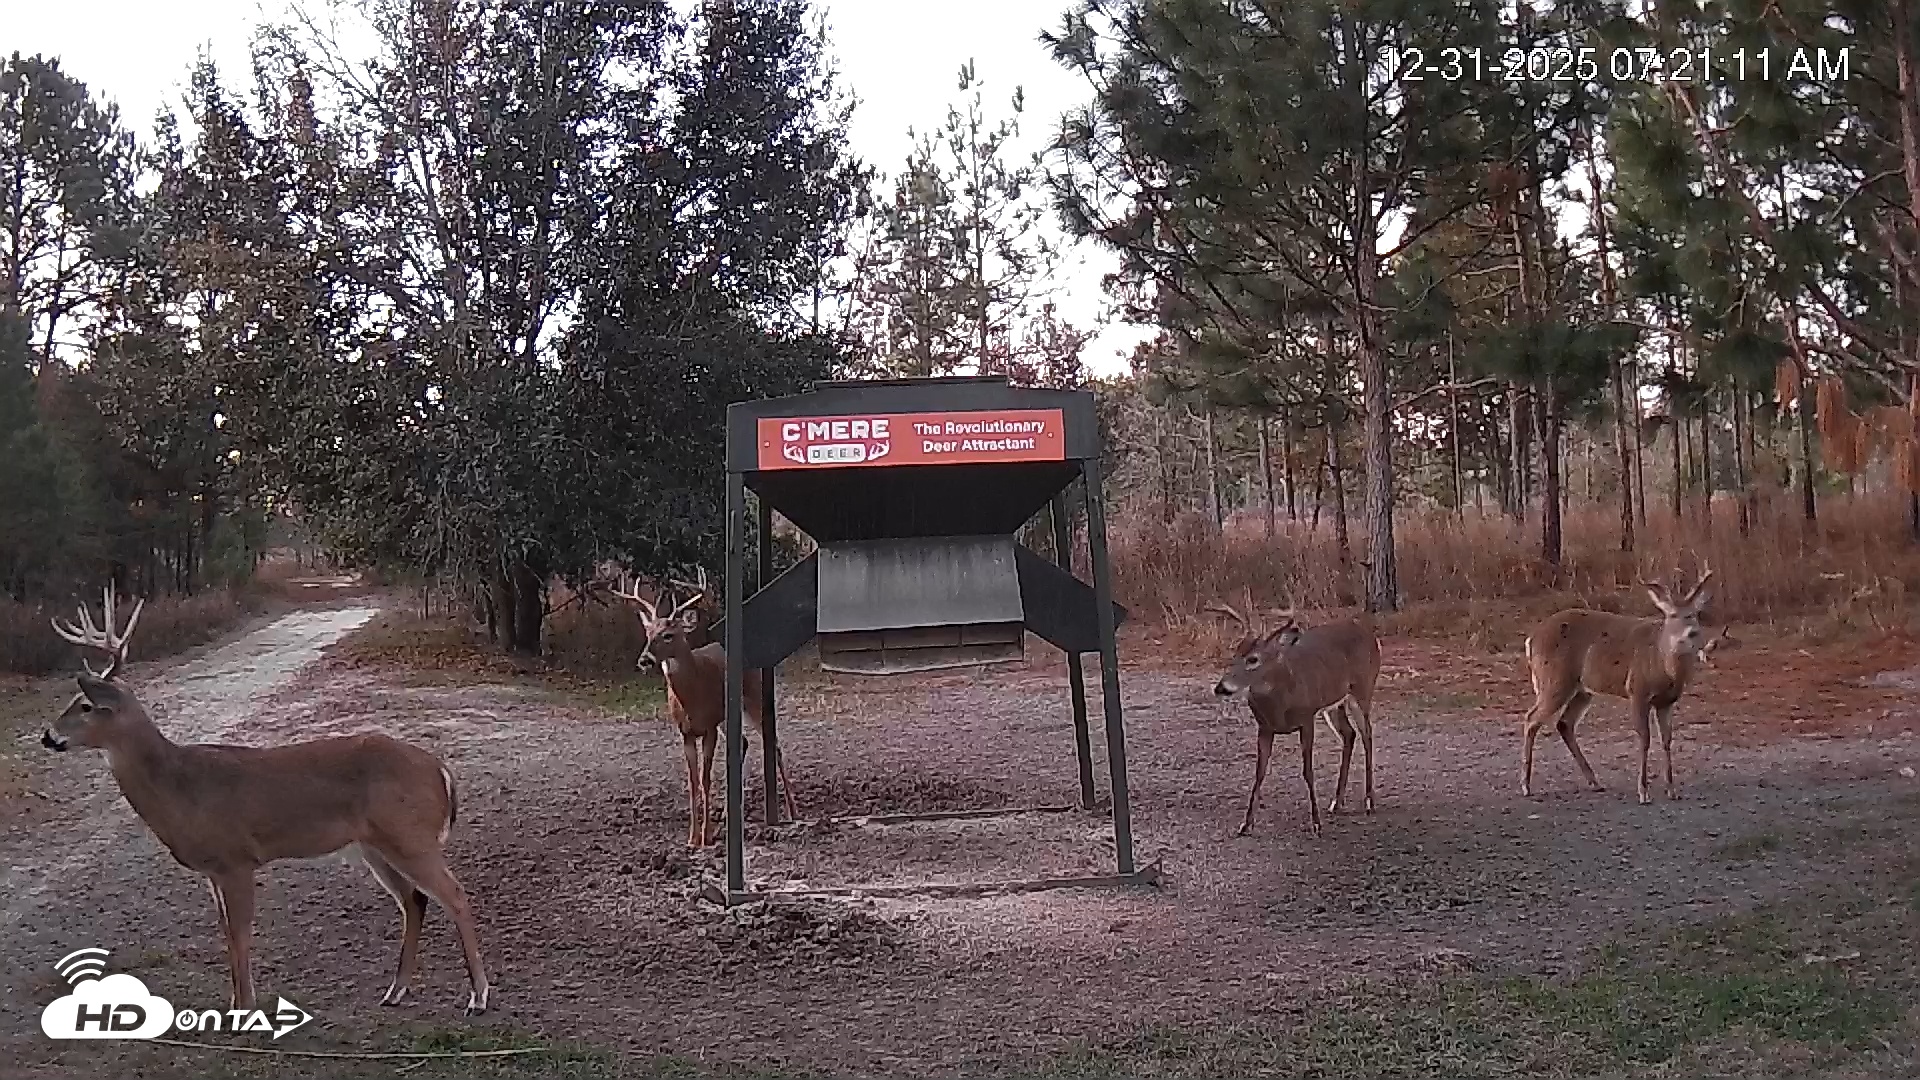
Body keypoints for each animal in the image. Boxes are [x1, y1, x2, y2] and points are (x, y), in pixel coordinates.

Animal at [38, 585, 490, 1015]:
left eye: (86, 705)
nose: (47, 736)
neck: (180, 790)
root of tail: (440, 769)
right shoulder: (213, 869)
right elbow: (227, 934)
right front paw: (234, 1003)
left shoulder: (237, 858)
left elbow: (240, 934)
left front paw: (245, 1008)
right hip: (374, 845)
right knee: (414, 900)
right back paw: (395, 992)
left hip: (410, 836)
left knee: (455, 895)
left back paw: (478, 996)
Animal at [611, 567, 797, 848]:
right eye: (648, 634)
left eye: (669, 635)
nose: (644, 660)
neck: (692, 698)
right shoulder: (686, 733)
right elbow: (692, 781)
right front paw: (691, 837)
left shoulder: (708, 728)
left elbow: (705, 778)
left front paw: (706, 836)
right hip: (729, 714)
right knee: (743, 742)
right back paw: (731, 810)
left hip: (754, 697)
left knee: (773, 743)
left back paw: (793, 811)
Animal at [1207, 594, 1382, 838]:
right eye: (1234, 655)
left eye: (1253, 659)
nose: (1221, 688)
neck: (1280, 704)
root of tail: (1370, 636)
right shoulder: (1264, 727)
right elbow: (1259, 773)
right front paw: (1245, 824)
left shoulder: (1306, 719)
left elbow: (1308, 772)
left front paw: (1316, 824)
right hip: (1333, 704)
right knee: (1349, 734)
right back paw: (1336, 802)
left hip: (1362, 689)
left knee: (1367, 734)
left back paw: (1368, 801)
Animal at [1520, 564, 1728, 805]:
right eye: (1672, 615)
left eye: (1694, 614)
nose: (1691, 632)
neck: (1664, 665)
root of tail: (1531, 639)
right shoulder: (1637, 690)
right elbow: (1644, 739)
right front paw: (1643, 792)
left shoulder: (1667, 701)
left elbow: (1667, 740)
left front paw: (1672, 790)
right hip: (1555, 679)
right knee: (1531, 718)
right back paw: (1526, 785)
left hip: (1582, 689)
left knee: (1564, 723)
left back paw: (1594, 782)